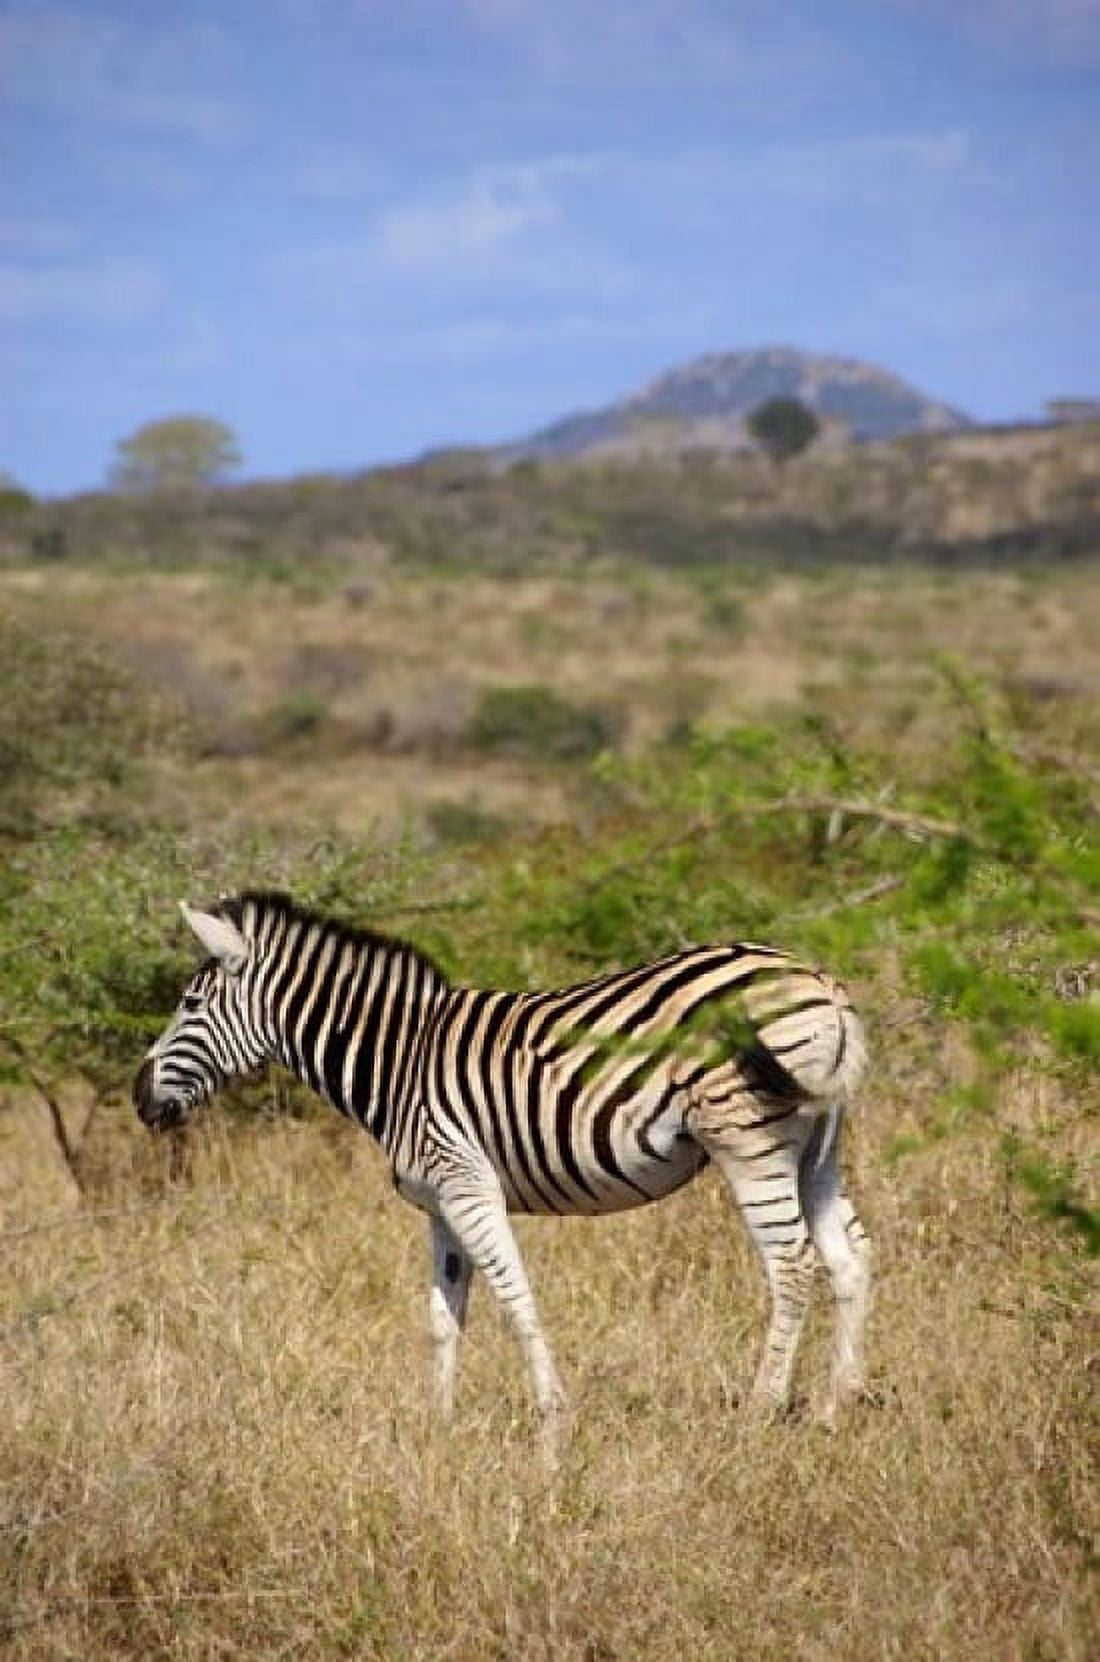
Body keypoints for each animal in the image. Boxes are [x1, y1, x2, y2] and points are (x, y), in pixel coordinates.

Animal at [133, 890, 871, 1439]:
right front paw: (437, 1427)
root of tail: (818, 982)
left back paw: (761, 1411)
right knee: (851, 1256)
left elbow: (515, 1295)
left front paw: (552, 1419)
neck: (398, 1058)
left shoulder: (466, 1182)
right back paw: (838, 1405)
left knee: (792, 1263)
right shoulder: (437, 1201)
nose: (139, 1098)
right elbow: (443, 1313)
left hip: (746, 1137)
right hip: (816, 1144)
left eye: (190, 1005)